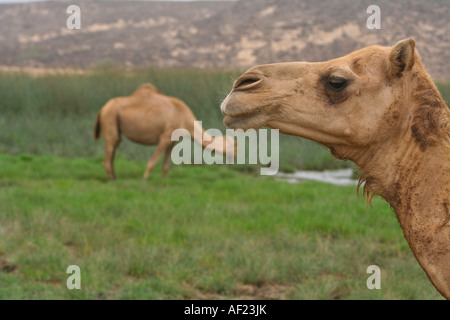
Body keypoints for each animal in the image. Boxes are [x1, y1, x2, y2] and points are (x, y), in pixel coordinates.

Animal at [94, 84, 236, 180]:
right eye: (235, 146)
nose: (235, 157)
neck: (185, 118)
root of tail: (102, 109)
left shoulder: (173, 141)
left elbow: (166, 166)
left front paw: (163, 182)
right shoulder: (165, 136)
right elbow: (152, 162)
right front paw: (144, 180)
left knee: (113, 149)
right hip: (110, 117)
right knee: (110, 148)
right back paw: (113, 180)